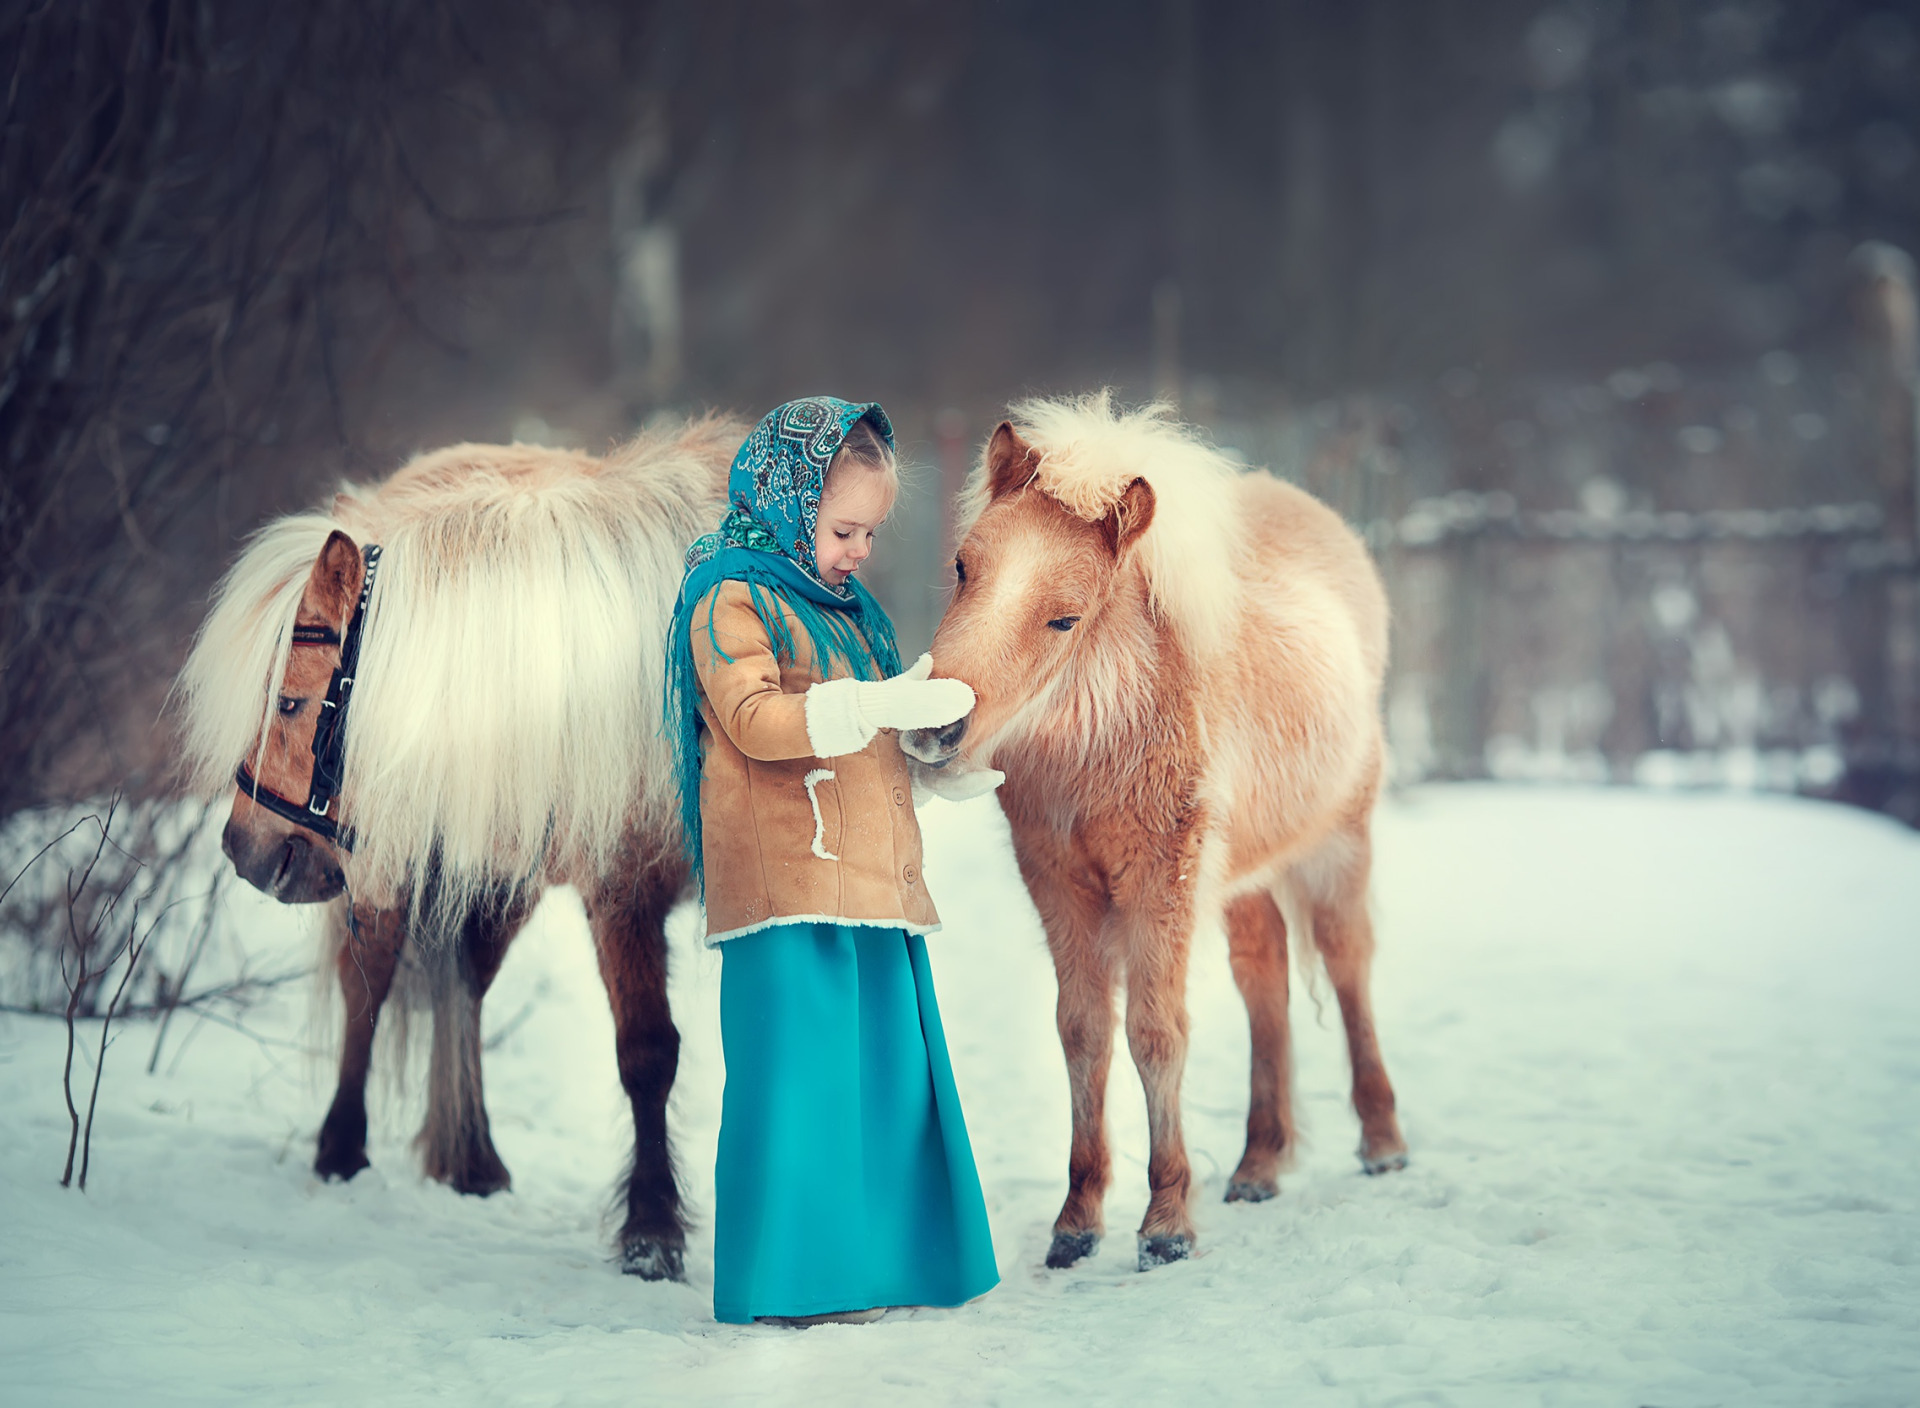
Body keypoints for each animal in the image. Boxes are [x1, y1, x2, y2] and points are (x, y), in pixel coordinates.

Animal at [176, 411, 737, 1283]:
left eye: (292, 702)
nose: (245, 849)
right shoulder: (623, 887)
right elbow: (647, 1052)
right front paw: (652, 1233)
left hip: (500, 868)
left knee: (465, 978)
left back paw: (470, 1158)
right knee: (369, 985)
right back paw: (344, 1152)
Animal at [898, 389, 1413, 1267]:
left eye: (1065, 619)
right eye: (964, 567)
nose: (933, 730)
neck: (1107, 730)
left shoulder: (1160, 878)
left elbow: (1155, 1032)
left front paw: (1166, 1221)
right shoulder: (1058, 881)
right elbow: (1083, 1032)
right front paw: (1077, 1221)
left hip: (1336, 848)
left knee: (1349, 966)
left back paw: (1382, 1145)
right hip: (1244, 877)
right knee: (1265, 982)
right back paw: (1258, 1164)